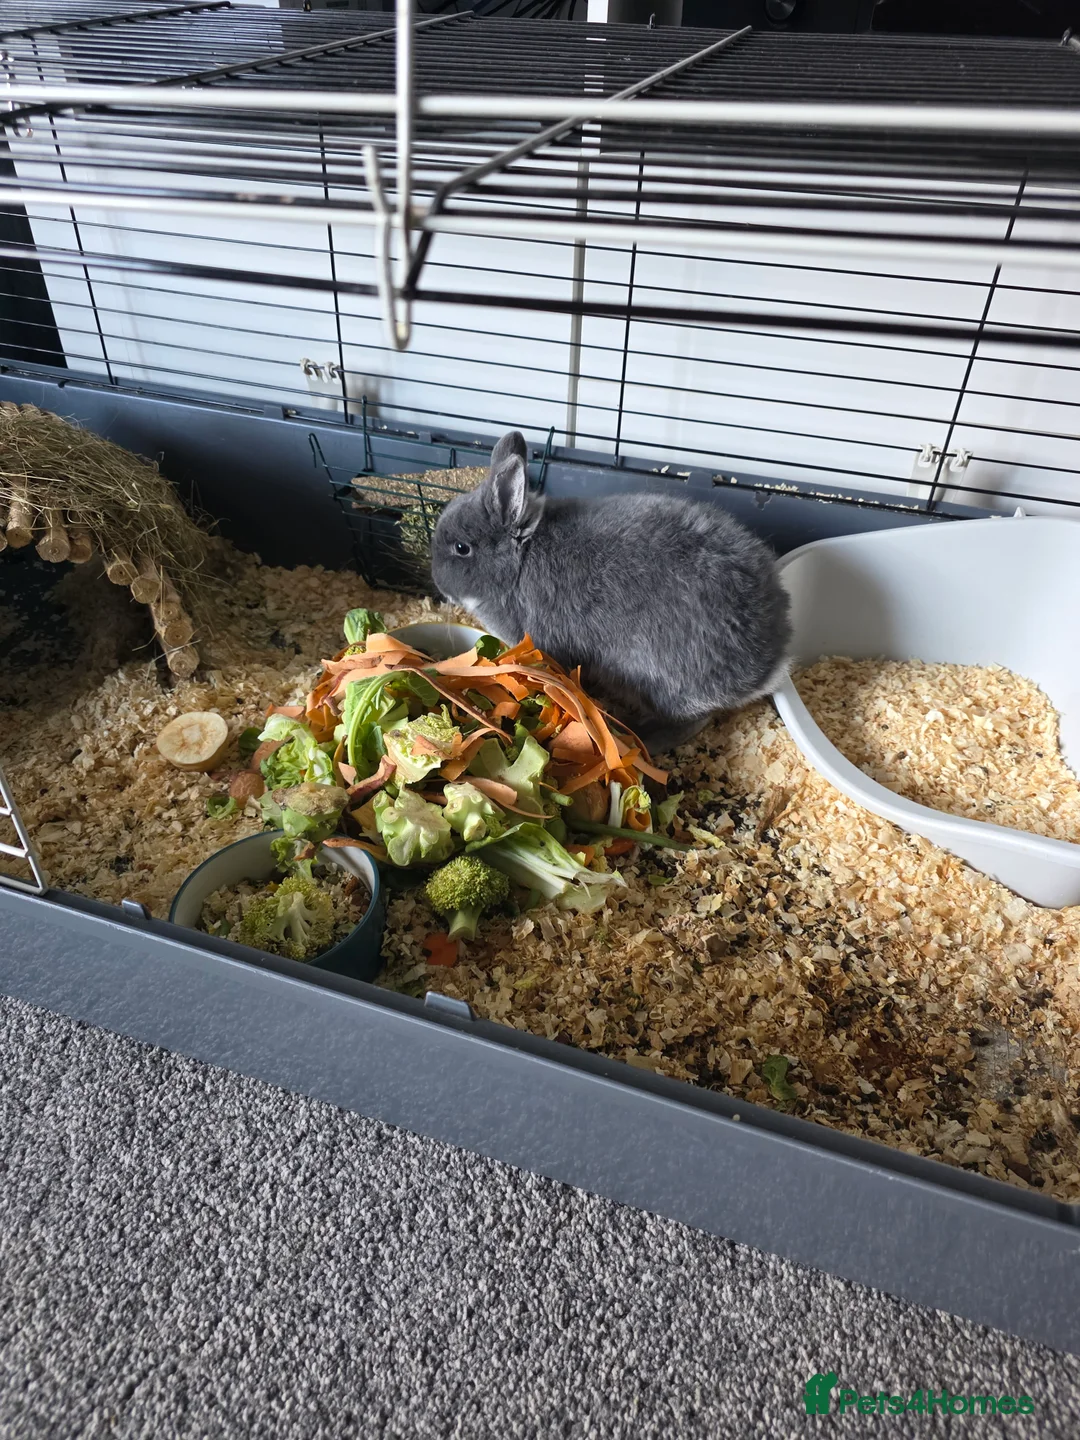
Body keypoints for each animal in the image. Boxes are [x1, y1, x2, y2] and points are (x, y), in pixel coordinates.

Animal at [430, 431, 792, 755]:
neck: (520, 561)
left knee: (692, 721)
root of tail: (769, 664)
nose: (438, 582)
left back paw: (644, 738)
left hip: (662, 683)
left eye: (462, 548)